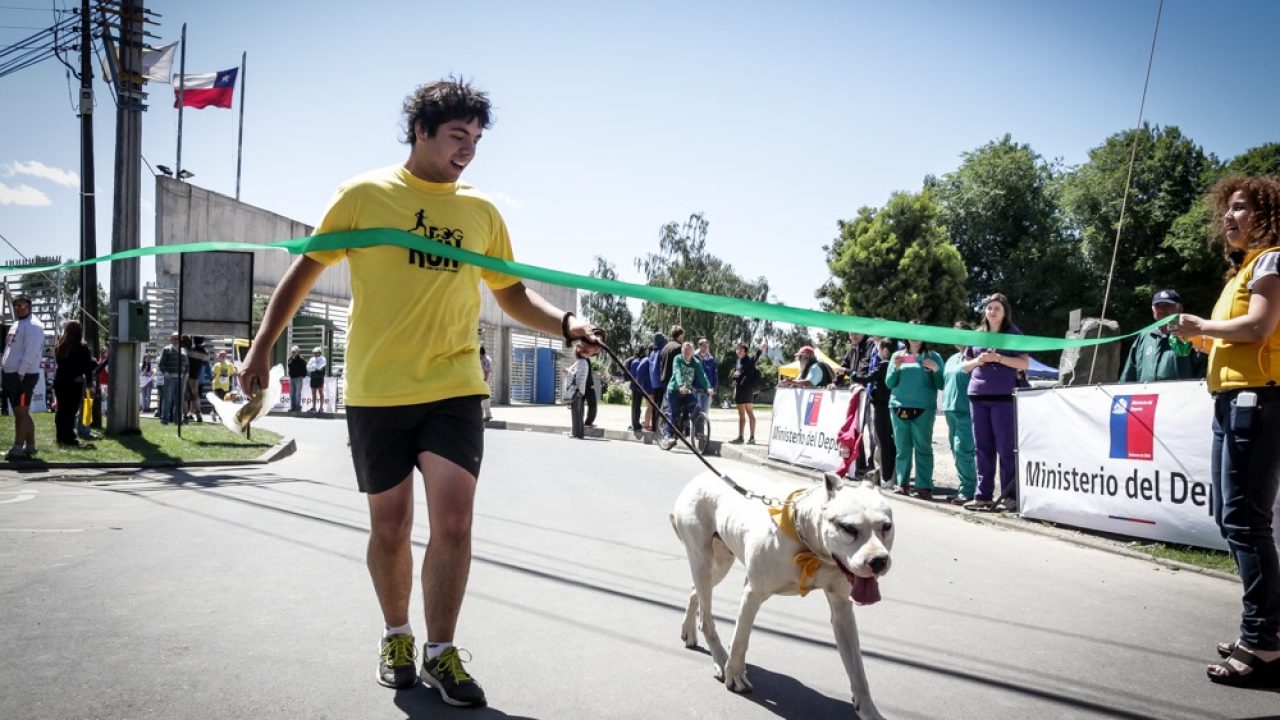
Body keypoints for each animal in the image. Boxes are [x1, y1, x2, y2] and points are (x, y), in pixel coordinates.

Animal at [671, 469, 893, 720]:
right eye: (848, 528)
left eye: (886, 526)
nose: (878, 561)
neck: (811, 546)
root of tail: (701, 476)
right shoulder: (753, 593)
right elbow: (740, 640)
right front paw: (734, 674)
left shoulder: (842, 609)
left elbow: (857, 668)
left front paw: (868, 709)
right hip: (702, 559)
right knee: (706, 615)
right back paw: (720, 659)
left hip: (719, 563)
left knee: (695, 592)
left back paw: (689, 631)